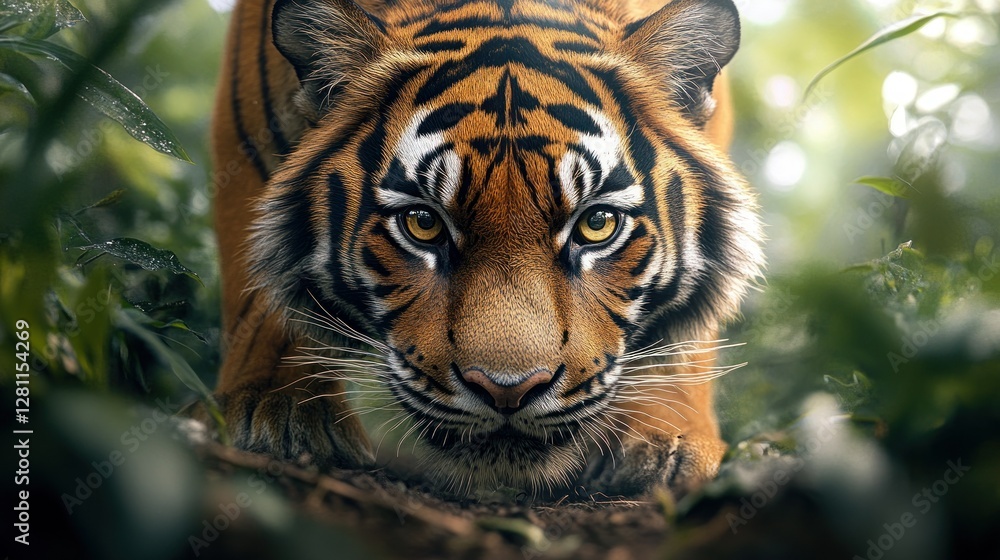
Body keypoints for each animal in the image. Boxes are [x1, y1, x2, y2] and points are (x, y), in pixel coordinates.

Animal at [210, 0, 763, 497]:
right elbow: (267, 292)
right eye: (423, 224)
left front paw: (664, 440)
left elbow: (683, 337)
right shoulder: (251, 136)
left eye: (597, 224)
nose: (507, 390)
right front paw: (280, 411)